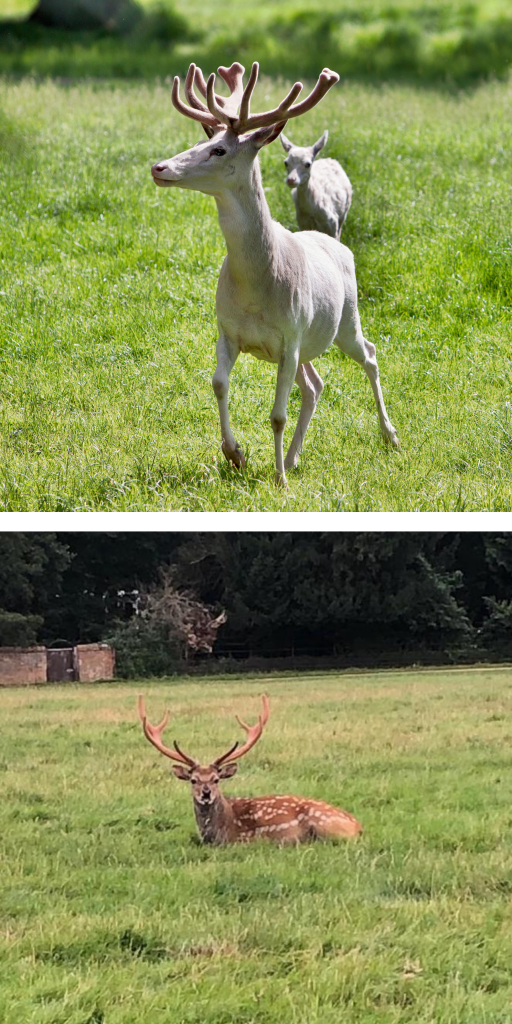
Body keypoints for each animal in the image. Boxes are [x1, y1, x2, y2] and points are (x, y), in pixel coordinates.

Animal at [149, 58, 397, 487]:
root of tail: (339, 245)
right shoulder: (228, 329)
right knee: (315, 384)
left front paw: (278, 479)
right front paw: (235, 454)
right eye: (198, 142)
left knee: (369, 354)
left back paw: (390, 436)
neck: (256, 287)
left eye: (218, 149)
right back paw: (296, 456)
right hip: (309, 341)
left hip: (345, 319)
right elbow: (217, 383)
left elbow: (277, 415)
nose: (159, 166)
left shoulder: (289, 335)